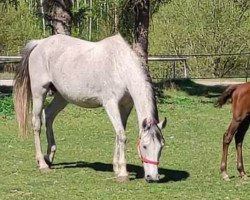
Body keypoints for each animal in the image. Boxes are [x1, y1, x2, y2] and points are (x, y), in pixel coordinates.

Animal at [13, 33, 166, 182]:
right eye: (144, 146)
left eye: (161, 146)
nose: (153, 177)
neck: (119, 67)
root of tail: (39, 43)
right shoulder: (110, 104)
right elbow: (122, 135)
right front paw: (123, 173)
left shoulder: (126, 107)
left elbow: (118, 134)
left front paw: (116, 168)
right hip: (39, 92)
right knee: (37, 123)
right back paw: (42, 164)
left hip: (62, 97)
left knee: (49, 115)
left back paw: (49, 157)